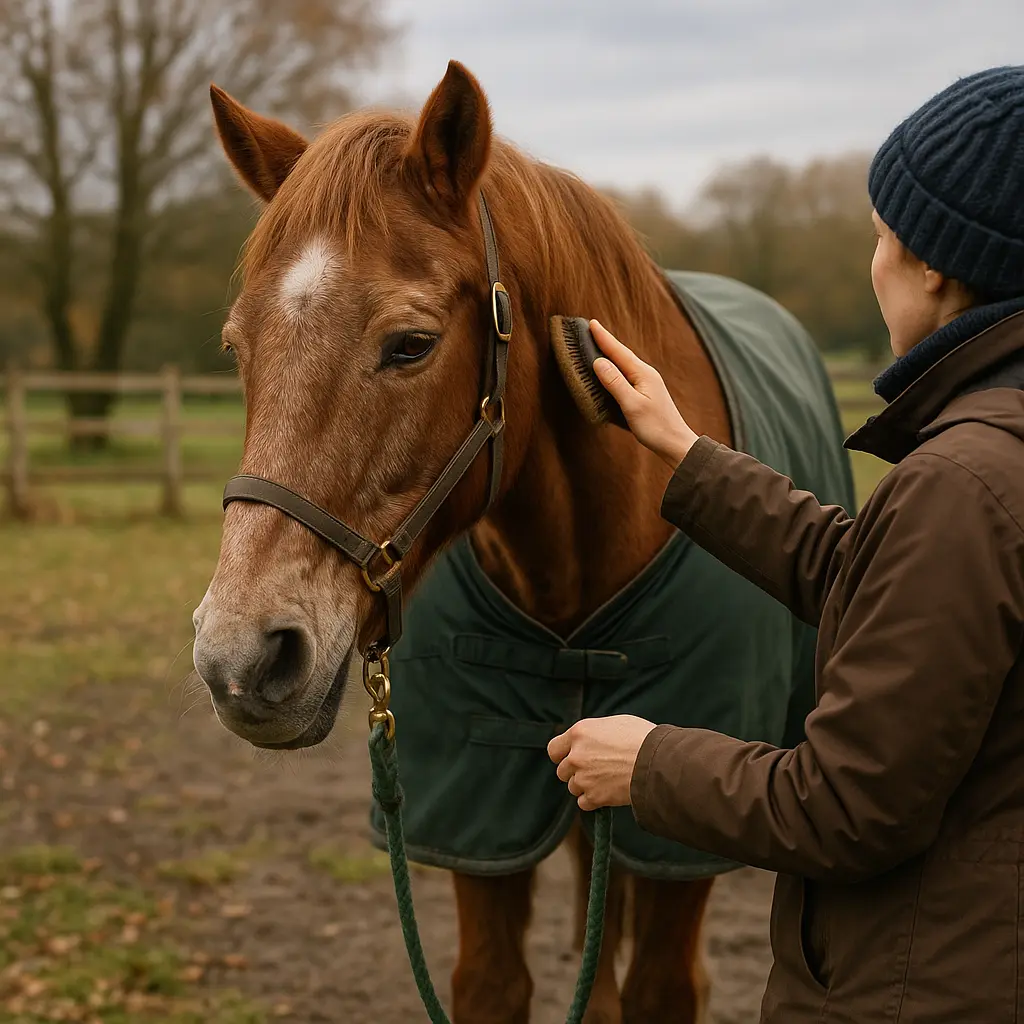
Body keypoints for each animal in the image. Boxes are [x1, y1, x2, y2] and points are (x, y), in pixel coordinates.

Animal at [192, 60, 854, 1023]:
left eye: (412, 344)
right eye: (238, 348)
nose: (237, 660)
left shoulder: (673, 832)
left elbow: (659, 985)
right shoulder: (484, 825)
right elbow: (496, 982)